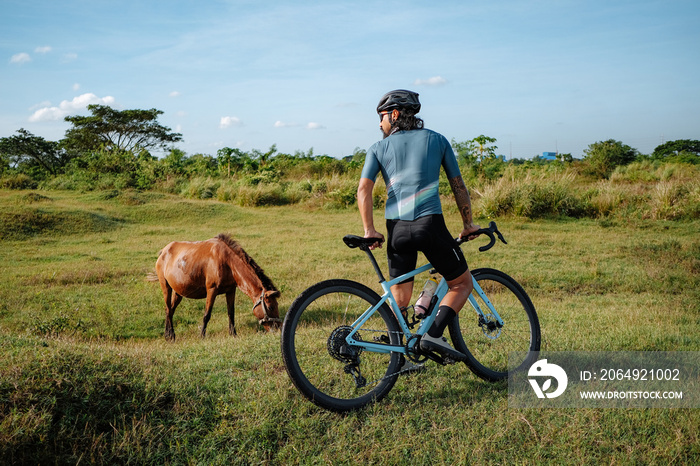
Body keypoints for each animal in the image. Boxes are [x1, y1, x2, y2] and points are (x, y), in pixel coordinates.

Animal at [153, 235, 282, 340]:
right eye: (270, 307)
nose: (278, 329)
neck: (228, 262)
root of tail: (163, 251)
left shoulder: (231, 290)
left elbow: (231, 313)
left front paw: (233, 334)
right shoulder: (212, 290)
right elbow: (207, 314)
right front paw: (202, 336)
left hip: (178, 292)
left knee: (169, 310)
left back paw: (168, 334)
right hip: (166, 287)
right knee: (168, 309)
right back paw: (170, 335)